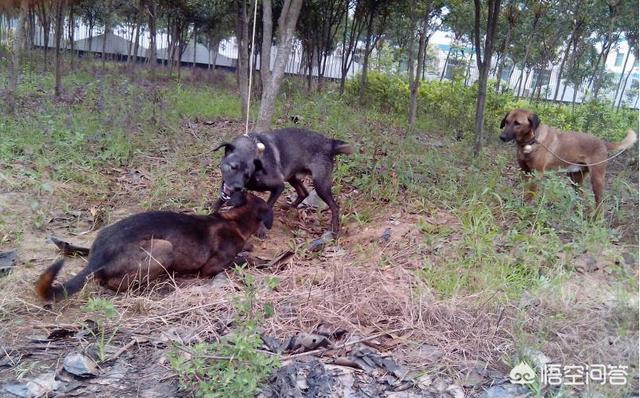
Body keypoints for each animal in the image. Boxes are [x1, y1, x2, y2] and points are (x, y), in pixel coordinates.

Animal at [35, 193, 270, 302]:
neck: (234, 220)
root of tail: (97, 259)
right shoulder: (211, 267)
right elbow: (238, 260)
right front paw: (252, 258)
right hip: (164, 248)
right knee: (112, 283)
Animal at [214, 127, 356, 233]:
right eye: (233, 167)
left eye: (247, 174)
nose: (237, 187)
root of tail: (329, 143)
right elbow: (218, 202)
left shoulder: (278, 186)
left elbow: (268, 206)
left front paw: (262, 230)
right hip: (292, 177)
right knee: (304, 192)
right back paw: (290, 206)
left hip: (320, 184)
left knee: (334, 206)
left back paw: (334, 229)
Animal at [500, 109, 636, 208]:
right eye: (506, 121)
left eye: (517, 123)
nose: (502, 137)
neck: (531, 141)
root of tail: (603, 143)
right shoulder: (524, 172)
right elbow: (525, 191)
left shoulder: (537, 174)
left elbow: (530, 194)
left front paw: (526, 208)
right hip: (575, 179)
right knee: (583, 198)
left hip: (596, 179)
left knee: (599, 202)